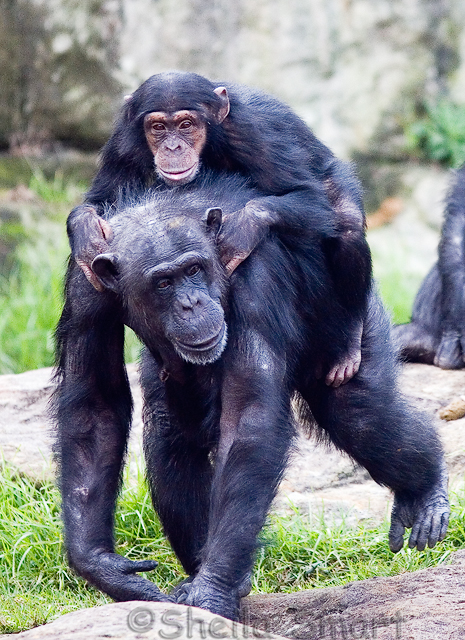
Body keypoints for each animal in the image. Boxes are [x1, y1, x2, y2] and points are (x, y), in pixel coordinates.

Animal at [52, 172, 448, 624]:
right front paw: (101, 565)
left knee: (363, 417)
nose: (192, 303)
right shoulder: (85, 285)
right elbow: (94, 406)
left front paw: (212, 592)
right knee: (172, 435)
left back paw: (425, 492)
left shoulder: (253, 275)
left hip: (355, 321)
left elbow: (250, 417)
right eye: (164, 282)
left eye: (194, 269)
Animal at [67, 72, 370, 388]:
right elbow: (100, 199)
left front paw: (241, 230)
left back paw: (349, 343)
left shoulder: (253, 132)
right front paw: (86, 233)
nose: (172, 147)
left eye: (186, 125)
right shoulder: (123, 143)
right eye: (158, 127)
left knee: (345, 222)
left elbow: (307, 195)